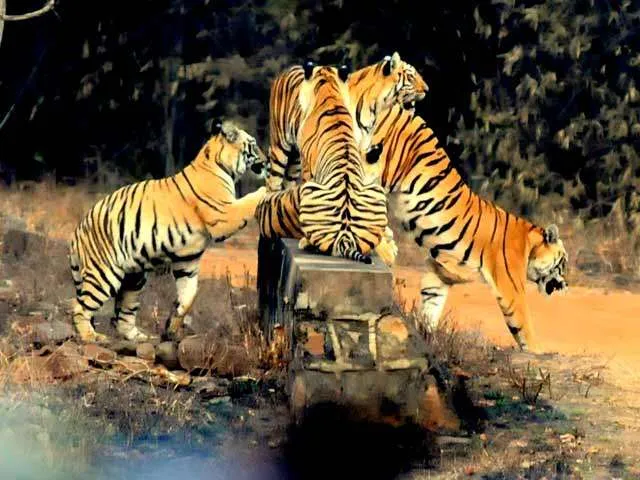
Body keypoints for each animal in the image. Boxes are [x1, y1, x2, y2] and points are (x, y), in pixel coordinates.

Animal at [68, 121, 267, 344]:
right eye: (253, 145)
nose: (267, 161)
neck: (219, 164)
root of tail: (78, 230)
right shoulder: (223, 214)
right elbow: (248, 202)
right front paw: (267, 188)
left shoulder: (187, 260)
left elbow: (188, 295)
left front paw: (171, 327)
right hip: (103, 274)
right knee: (79, 307)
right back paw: (91, 336)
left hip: (134, 279)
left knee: (122, 315)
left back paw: (139, 337)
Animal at [265, 51, 429, 193]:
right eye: (411, 77)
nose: (427, 89)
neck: (375, 108)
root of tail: (288, 69)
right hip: (280, 148)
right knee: (272, 183)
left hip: (296, 159)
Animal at [362, 105, 569, 352]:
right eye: (563, 262)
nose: (566, 286)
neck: (529, 246)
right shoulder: (510, 288)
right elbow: (523, 323)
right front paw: (538, 351)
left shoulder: (440, 272)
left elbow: (431, 305)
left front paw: (428, 338)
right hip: (382, 168)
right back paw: (386, 249)